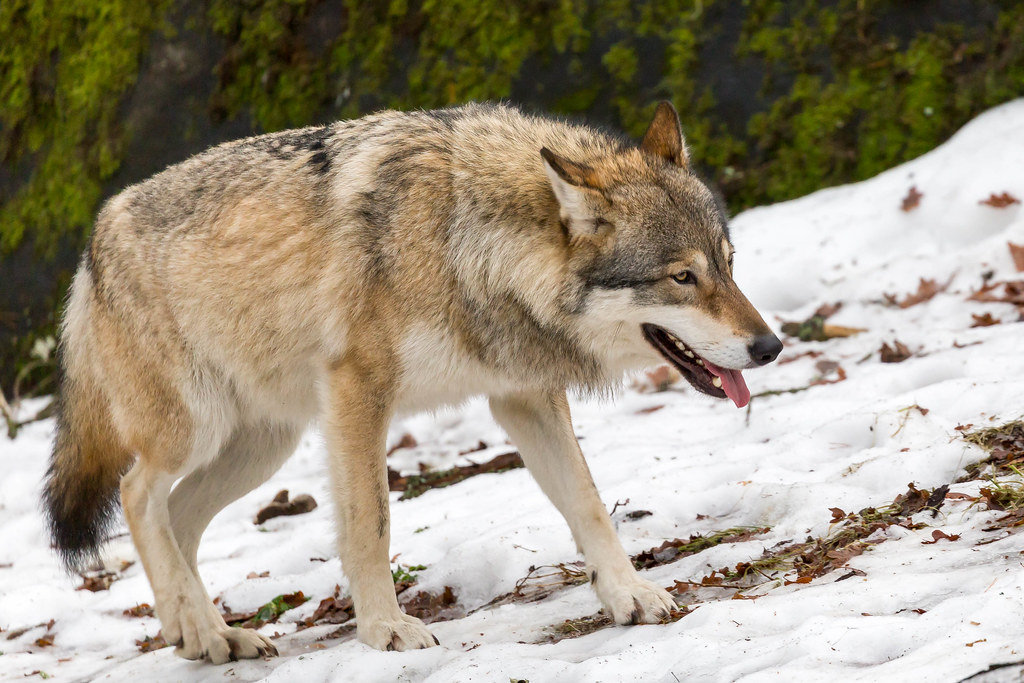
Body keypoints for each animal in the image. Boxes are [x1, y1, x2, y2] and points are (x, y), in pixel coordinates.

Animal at [37, 101, 774, 663]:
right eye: (683, 277)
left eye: (730, 264)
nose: (769, 346)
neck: (464, 241)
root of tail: (93, 238)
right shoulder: (359, 392)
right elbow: (372, 521)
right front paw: (385, 630)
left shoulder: (523, 396)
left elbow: (589, 503)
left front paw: (629, 594)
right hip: (197, 430)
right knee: (137, 495)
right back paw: (195, 629)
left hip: (262, 448)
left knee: (179, 516)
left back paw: (209, 631)